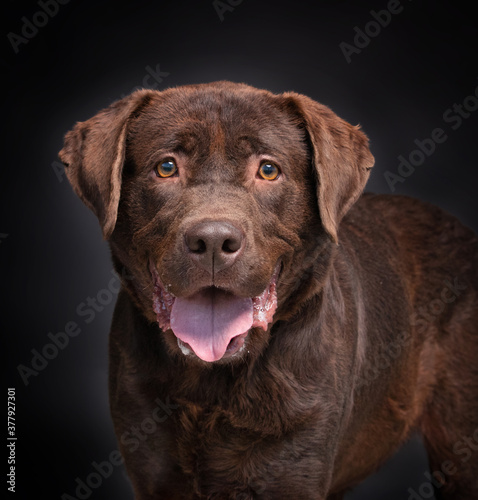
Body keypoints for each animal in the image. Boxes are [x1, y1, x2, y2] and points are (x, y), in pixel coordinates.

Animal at [58, 83, 478, 500]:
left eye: (268, 169)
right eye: (166, 167)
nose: (213, 241)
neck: (213, 384)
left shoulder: (296, 459)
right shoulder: (152, 464)